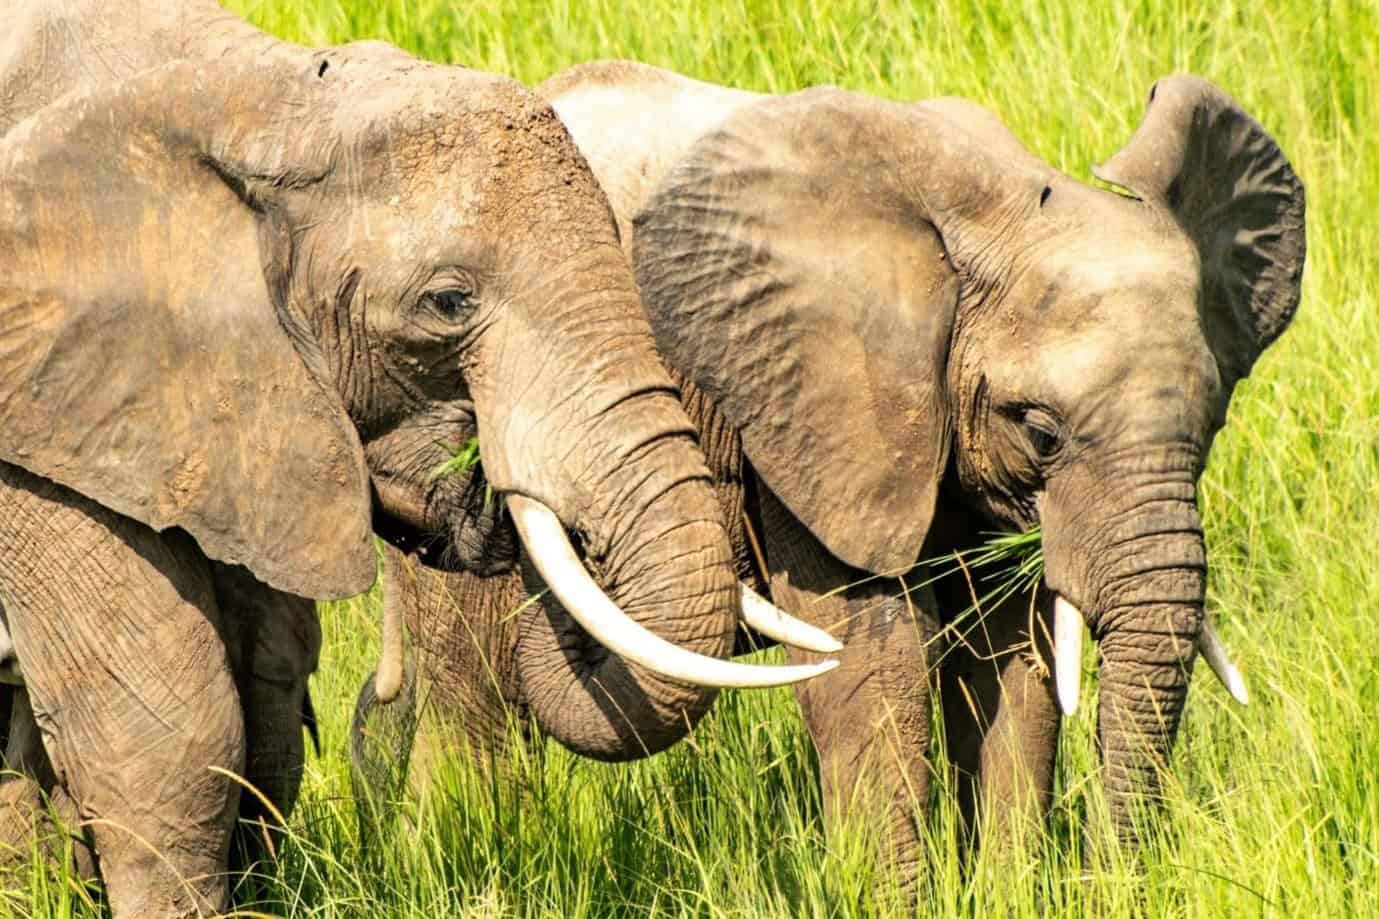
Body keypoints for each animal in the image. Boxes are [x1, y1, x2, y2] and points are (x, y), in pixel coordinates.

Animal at [0, 6, 836, 913]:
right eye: (448, 302)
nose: (493, 484)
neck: (262, 98)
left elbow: (269, 683)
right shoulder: (41, 409)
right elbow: (176, 732)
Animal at [365, 59, 1304, 883]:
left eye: (1213, 422)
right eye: (1042, 432)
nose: (1114, 879)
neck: (991, 208)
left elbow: (1012, 661)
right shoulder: (809, 404)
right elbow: (870, 661)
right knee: (479, 691)